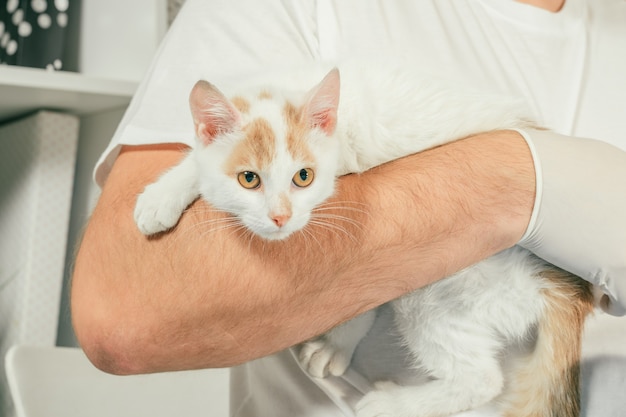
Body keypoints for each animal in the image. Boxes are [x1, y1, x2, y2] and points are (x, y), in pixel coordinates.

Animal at [132, 62, 588, 416]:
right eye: (249, 179)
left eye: (303, 176)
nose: (281, 216)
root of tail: (568, 286)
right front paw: (163, 194)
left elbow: (363, 287)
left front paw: (338, 342)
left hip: (452, 281)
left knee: (482, 379)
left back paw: (396, 404)